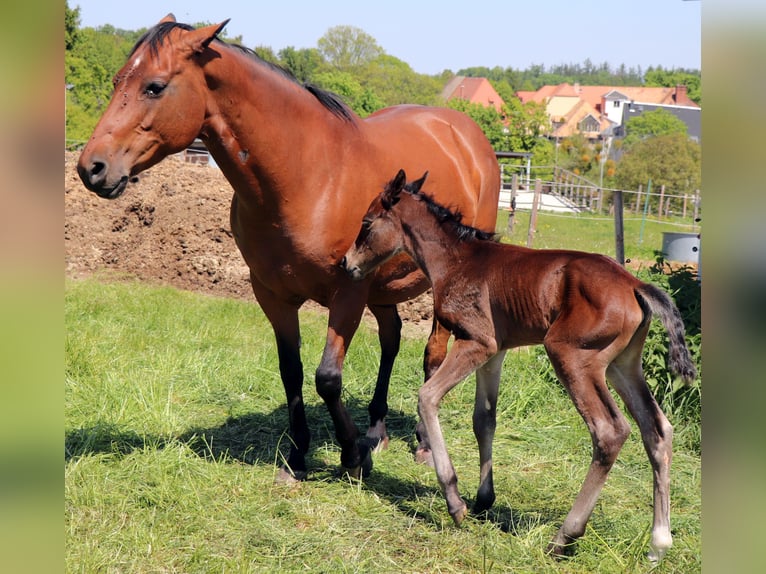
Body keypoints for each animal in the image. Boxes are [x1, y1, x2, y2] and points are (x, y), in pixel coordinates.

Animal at [76, 16, 500, 481]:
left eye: (154, 86)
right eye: (117, 80)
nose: (91, 167)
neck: (308, 174)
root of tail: (466, 135)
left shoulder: (348, 291)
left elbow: (327, 377)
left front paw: (353, 456)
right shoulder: (273, 294)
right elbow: (291, 372)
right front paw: (298, 457)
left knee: (432, 354)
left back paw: (422, 444)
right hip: (382, 289)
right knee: (391, 341)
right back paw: (377, 429)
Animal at [340, 169, 696, 562]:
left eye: (366, 222)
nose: (346, 263)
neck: (457, 260)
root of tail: (635, 284)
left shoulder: (476, 342)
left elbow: (428, 397)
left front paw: (455, 502)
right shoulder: (496, 352)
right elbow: (484, 420)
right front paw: (483, 500)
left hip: (573, 357)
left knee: (610, 432)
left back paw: (564, 537)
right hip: (624, 365)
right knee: (658, 430)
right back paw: (658, 543)